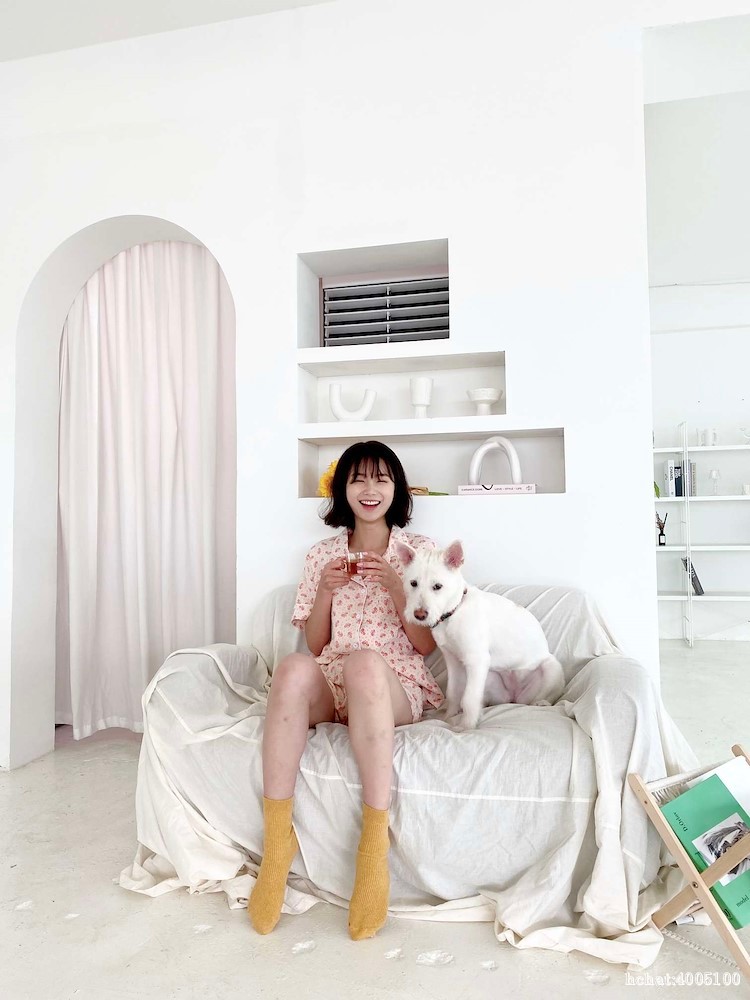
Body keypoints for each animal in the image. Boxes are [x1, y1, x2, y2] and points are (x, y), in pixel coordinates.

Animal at [396, 539, 565, 729]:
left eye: (437, 586)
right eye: (413, 583)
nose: (419, 615)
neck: (453, 613)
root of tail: (515, 698)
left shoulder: (476, 660)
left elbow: (468, 698)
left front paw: (466, 726)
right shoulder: (453, 661)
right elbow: (453, 692)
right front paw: (448, 718)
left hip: (551, 668)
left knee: (546, 696)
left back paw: (541, 702)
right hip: (490, 677)